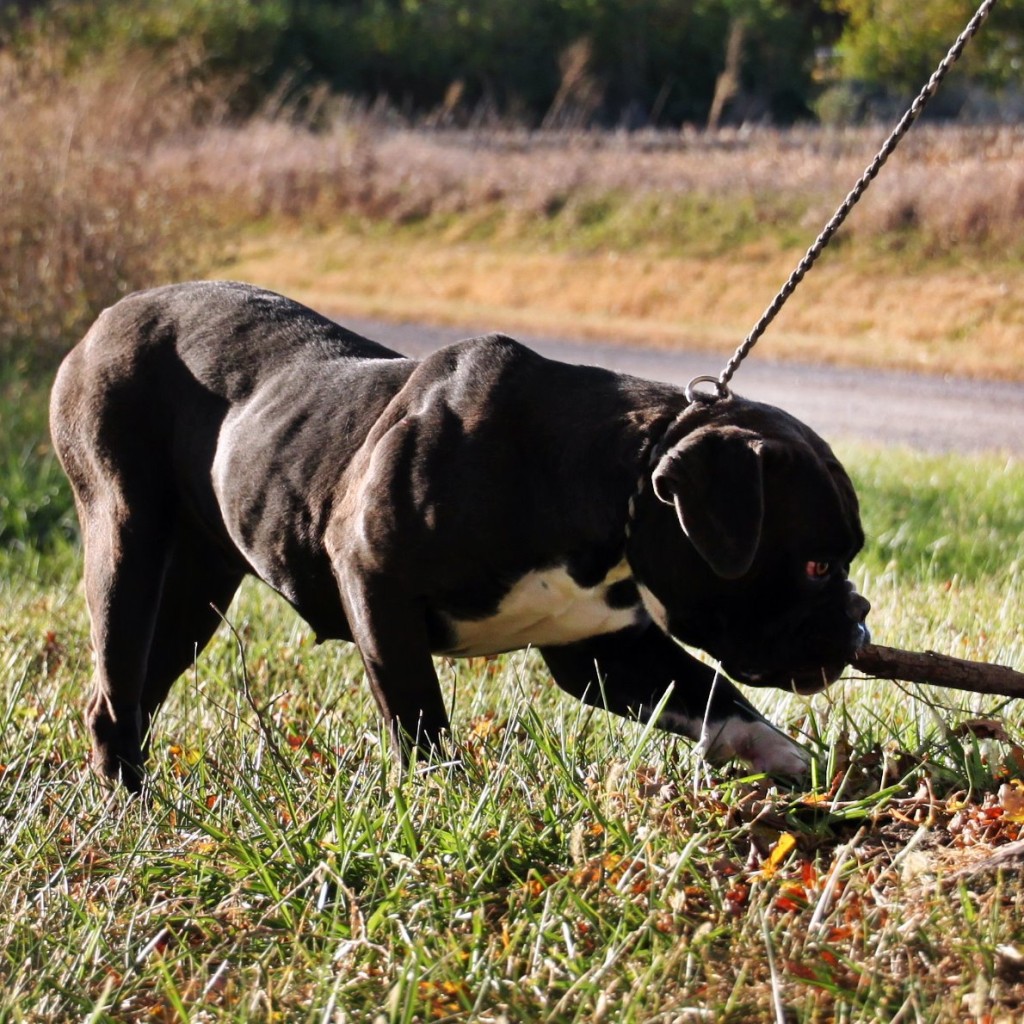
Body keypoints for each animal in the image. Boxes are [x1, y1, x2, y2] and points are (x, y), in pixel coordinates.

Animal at [49, 280, 872, 790]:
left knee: (138, 688)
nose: (860, 619)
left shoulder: (606, 651)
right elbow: (418, 714)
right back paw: (133, 815)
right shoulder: (374, 584)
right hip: (124, 544)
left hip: (194, 592)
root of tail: (105, 319)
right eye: (814, 566)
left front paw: (803, 767)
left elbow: (716, 695)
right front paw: (440, 798)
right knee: (117, 683)